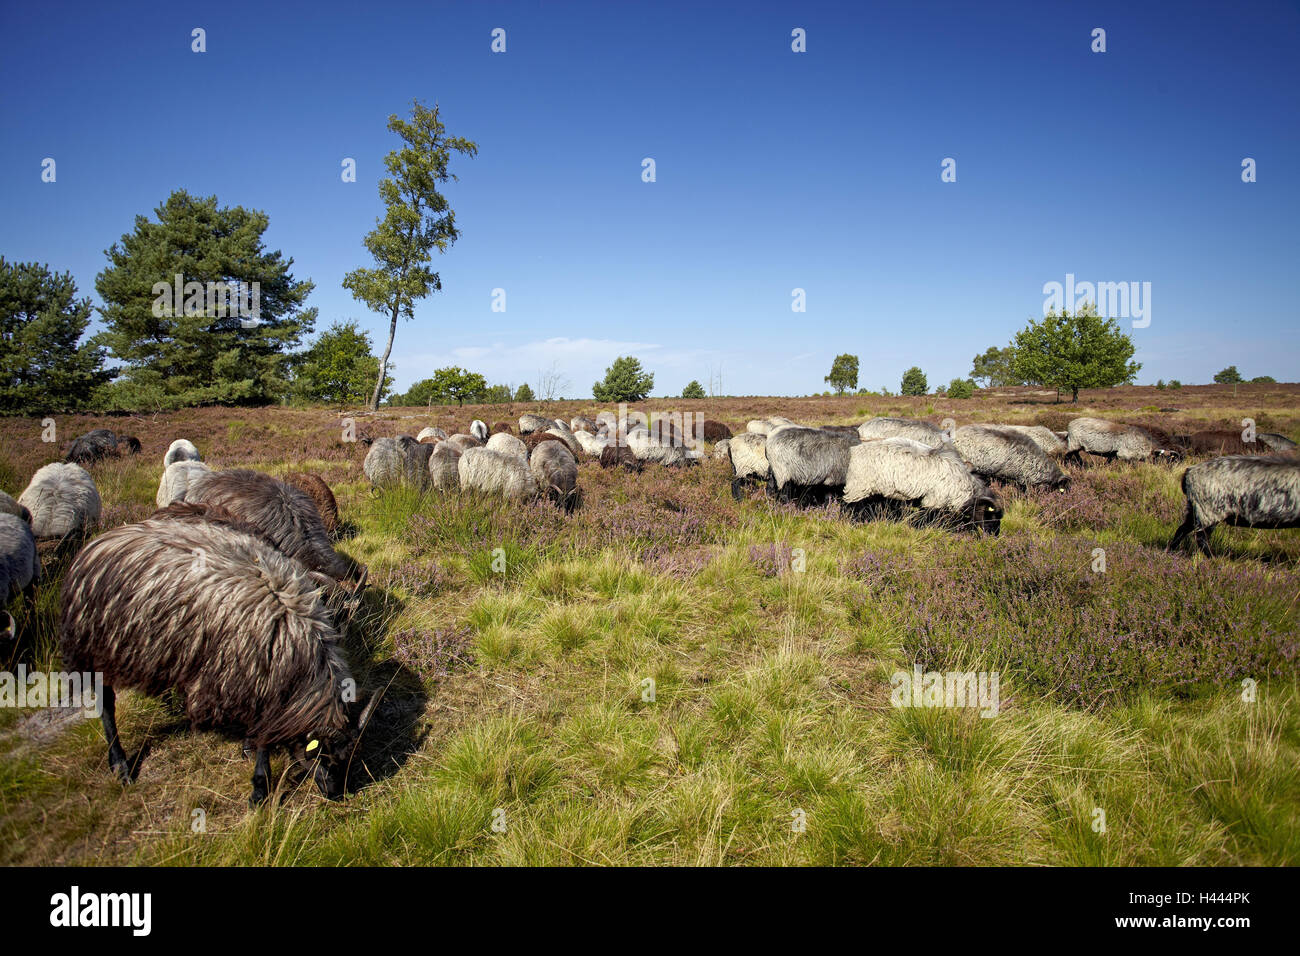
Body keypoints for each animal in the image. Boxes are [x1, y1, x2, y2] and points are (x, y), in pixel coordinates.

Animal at [61, 515, 377, 806]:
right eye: (322, 755)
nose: (337, 795)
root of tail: (100, 541)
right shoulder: (251, 677)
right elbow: (263, 737)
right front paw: (259, 789)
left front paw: (249, 754)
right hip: (96, 645)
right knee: (106, 705)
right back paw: (120, 764)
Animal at [842, 437, 1003, 535]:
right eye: (990, 516)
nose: (994, 535)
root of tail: (855, 450)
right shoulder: (933, 500)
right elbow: (929, 518)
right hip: (858, 487)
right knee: (852, 507)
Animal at [1170, 455, 1300, 554]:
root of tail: (1189, 472)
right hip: (1209, 510)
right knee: (1202, 537)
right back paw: (1214, 558)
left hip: (1196, 509)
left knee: (1182, 529)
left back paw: (1172, 551)